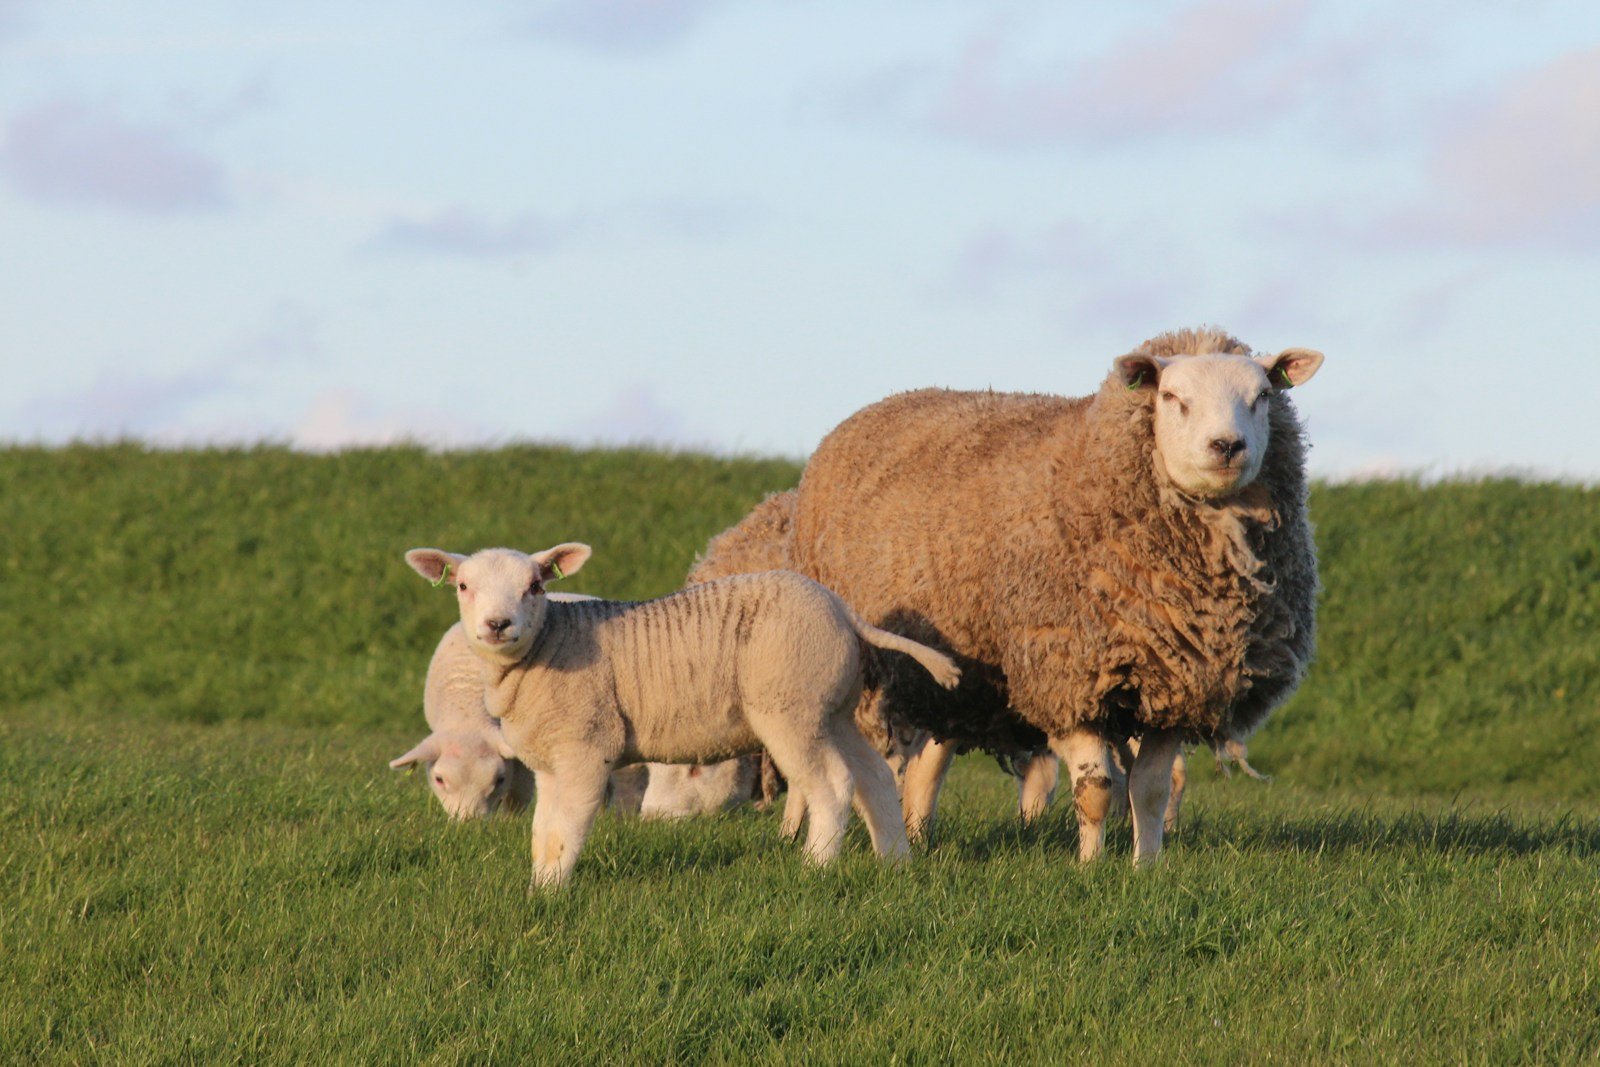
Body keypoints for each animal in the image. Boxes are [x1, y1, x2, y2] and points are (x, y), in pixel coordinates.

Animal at [403, 542, 962, 887]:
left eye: (536, 586)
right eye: (463, 587)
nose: (498, 624)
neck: (549, 646)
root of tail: (843, 611)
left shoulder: (586, 745)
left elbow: (570, 824)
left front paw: (556, 891)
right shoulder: (547, 761)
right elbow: (544, 831)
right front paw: (540, 885)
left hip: (790, 705)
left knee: (831, 784)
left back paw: (815, 868)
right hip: (833, 707)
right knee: (873, 777)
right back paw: (895, 864)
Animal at [788, 326, 1323, 864]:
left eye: (1262, 396)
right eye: (1172, 397)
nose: (1227, 446)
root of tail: (880, 405)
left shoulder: (1179, 682)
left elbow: (1151, 790)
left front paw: (1146, 866)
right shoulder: (1066, 671)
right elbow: (1096, 790)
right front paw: (1090, 865)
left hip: (958, 679)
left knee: (928, 768)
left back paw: (917, 835)